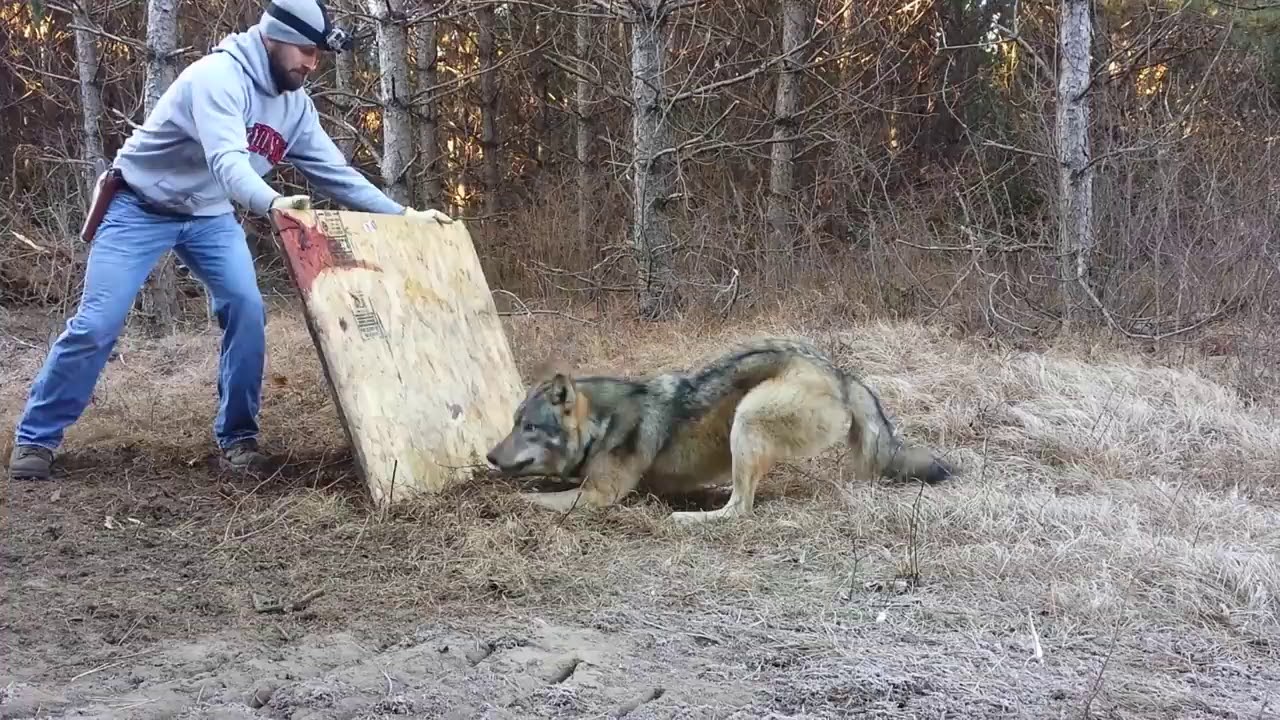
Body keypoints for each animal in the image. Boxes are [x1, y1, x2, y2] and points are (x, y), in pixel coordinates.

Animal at [483, 335, 957, 520]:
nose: (489, 456)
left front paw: (506, 502)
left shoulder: (600, 495)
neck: (601, 426)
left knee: (740, 509)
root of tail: (840, 373)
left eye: (530, 426)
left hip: (746, 418)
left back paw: (689, 518)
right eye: (514, 424)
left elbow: (533, 498)